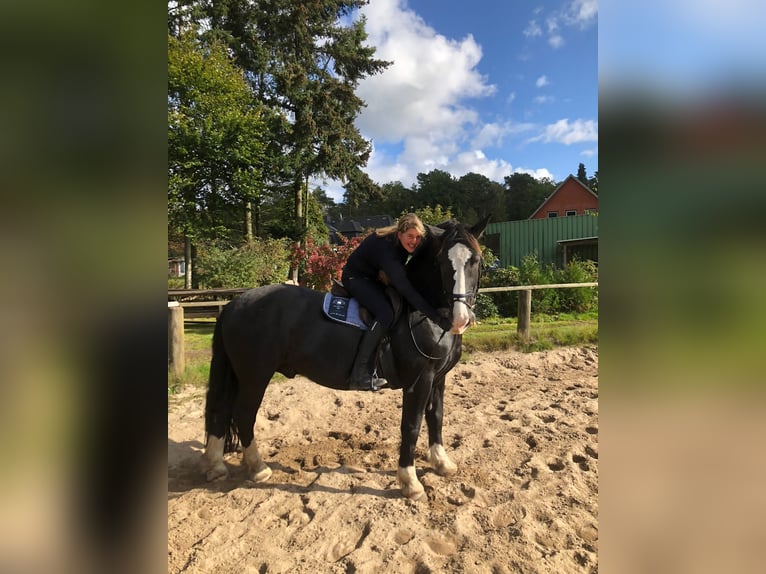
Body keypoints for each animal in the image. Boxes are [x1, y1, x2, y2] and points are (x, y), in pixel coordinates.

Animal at [202, 218, 492, 502]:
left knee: (221, 412)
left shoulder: (438, 378)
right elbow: (412, 425)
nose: (461, 319)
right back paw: (258, 467)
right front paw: (410, 482)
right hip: (255, 376)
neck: (423, 313)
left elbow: (436, 417)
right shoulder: (419, 381)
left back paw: (216, 466)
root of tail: (234, 304)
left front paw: (441, 463)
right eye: (441, 262)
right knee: (243, 414)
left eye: (475, 260)